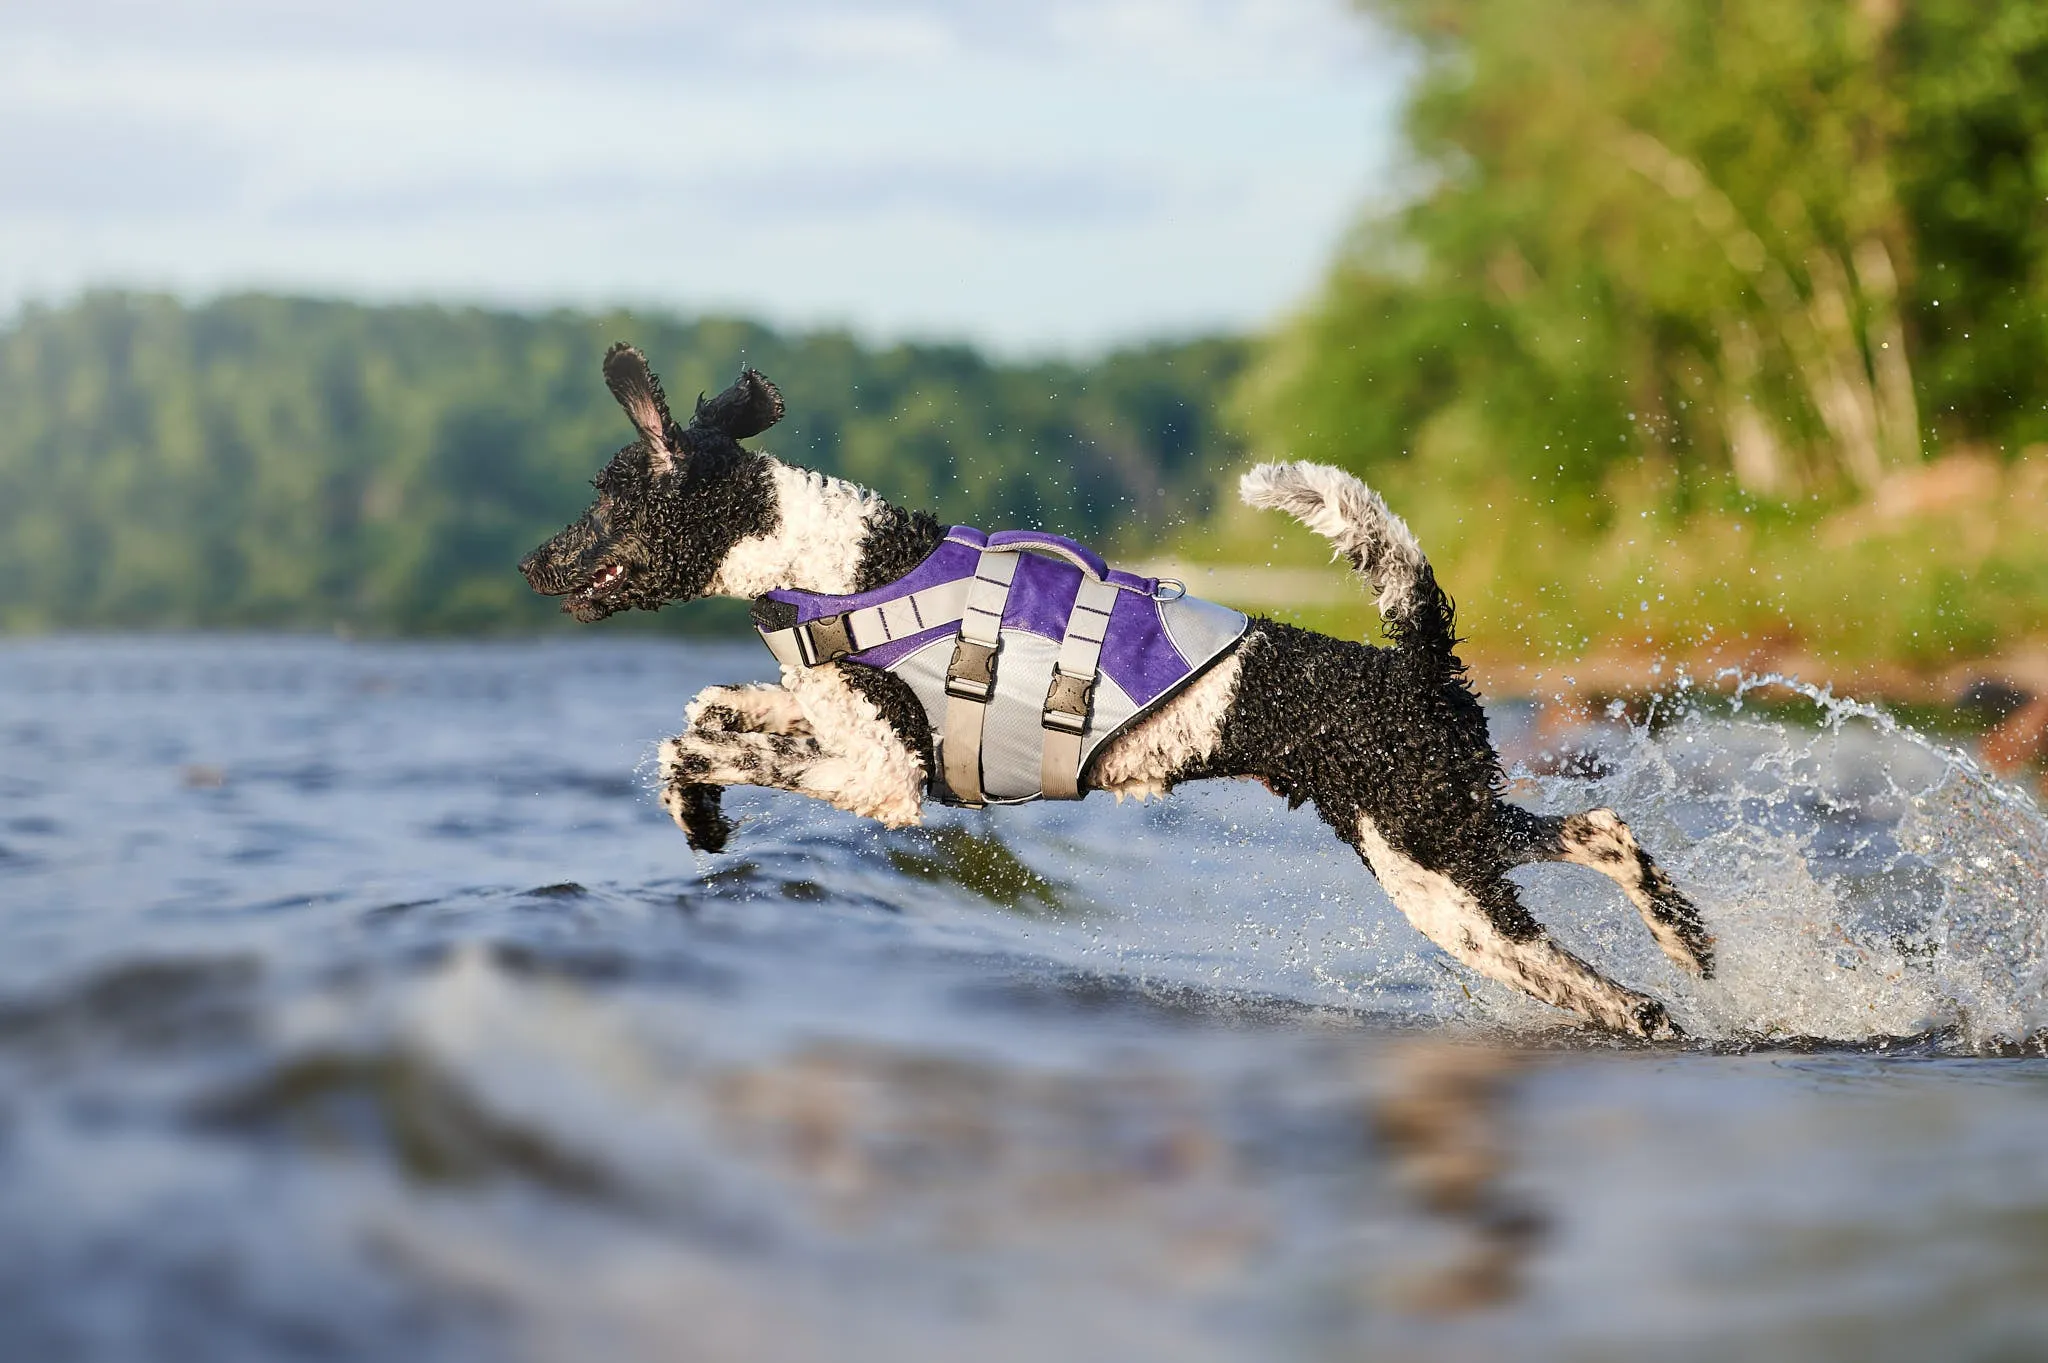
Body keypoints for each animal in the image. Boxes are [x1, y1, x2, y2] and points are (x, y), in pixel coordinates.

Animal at [524, 345, 1712, 1035]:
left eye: (604, 501)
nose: (534, 563)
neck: (840, 565)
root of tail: (1417, 660)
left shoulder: (883, 772)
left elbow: (706, 741)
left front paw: (698, 804)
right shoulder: (837, 725)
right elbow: (721, 709)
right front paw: (706, 787)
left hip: (1432, 853)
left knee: (1609, 921)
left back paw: (1671, 961)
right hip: (1441, 843)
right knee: (1604, 848)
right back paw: (1680, 939)